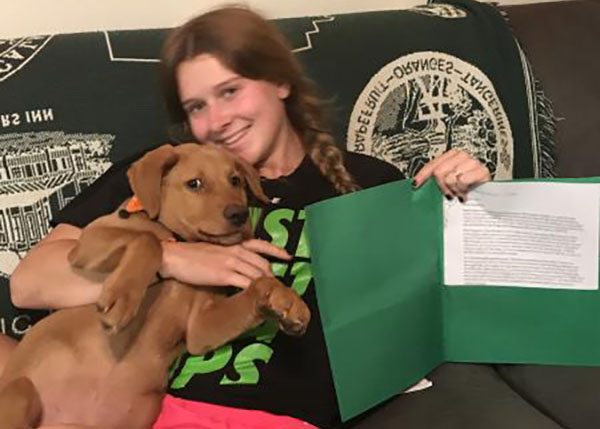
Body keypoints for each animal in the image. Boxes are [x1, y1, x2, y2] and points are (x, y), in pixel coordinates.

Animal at [0, 144, 310, 428]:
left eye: (235, 180)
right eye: (194, 184)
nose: (240, 214)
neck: (177, 237)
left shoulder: (200, 330)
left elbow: (257, 288)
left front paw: (285, 299)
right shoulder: (88, 243)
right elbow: (147, 241)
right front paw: (122, 298)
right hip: (21, 391)